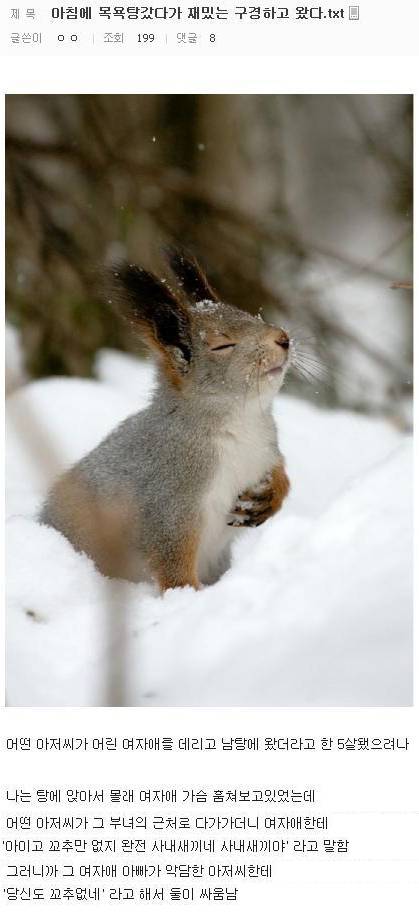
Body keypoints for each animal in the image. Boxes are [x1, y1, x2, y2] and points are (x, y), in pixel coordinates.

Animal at [41, 250, 292, 588]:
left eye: (251, 316)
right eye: (222, 345)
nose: (283, 338)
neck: (241, 421)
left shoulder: (266, 449)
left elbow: (279, 472)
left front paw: (271, 495)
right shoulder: (171, 498)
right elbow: (172, 558)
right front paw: (187, 594)